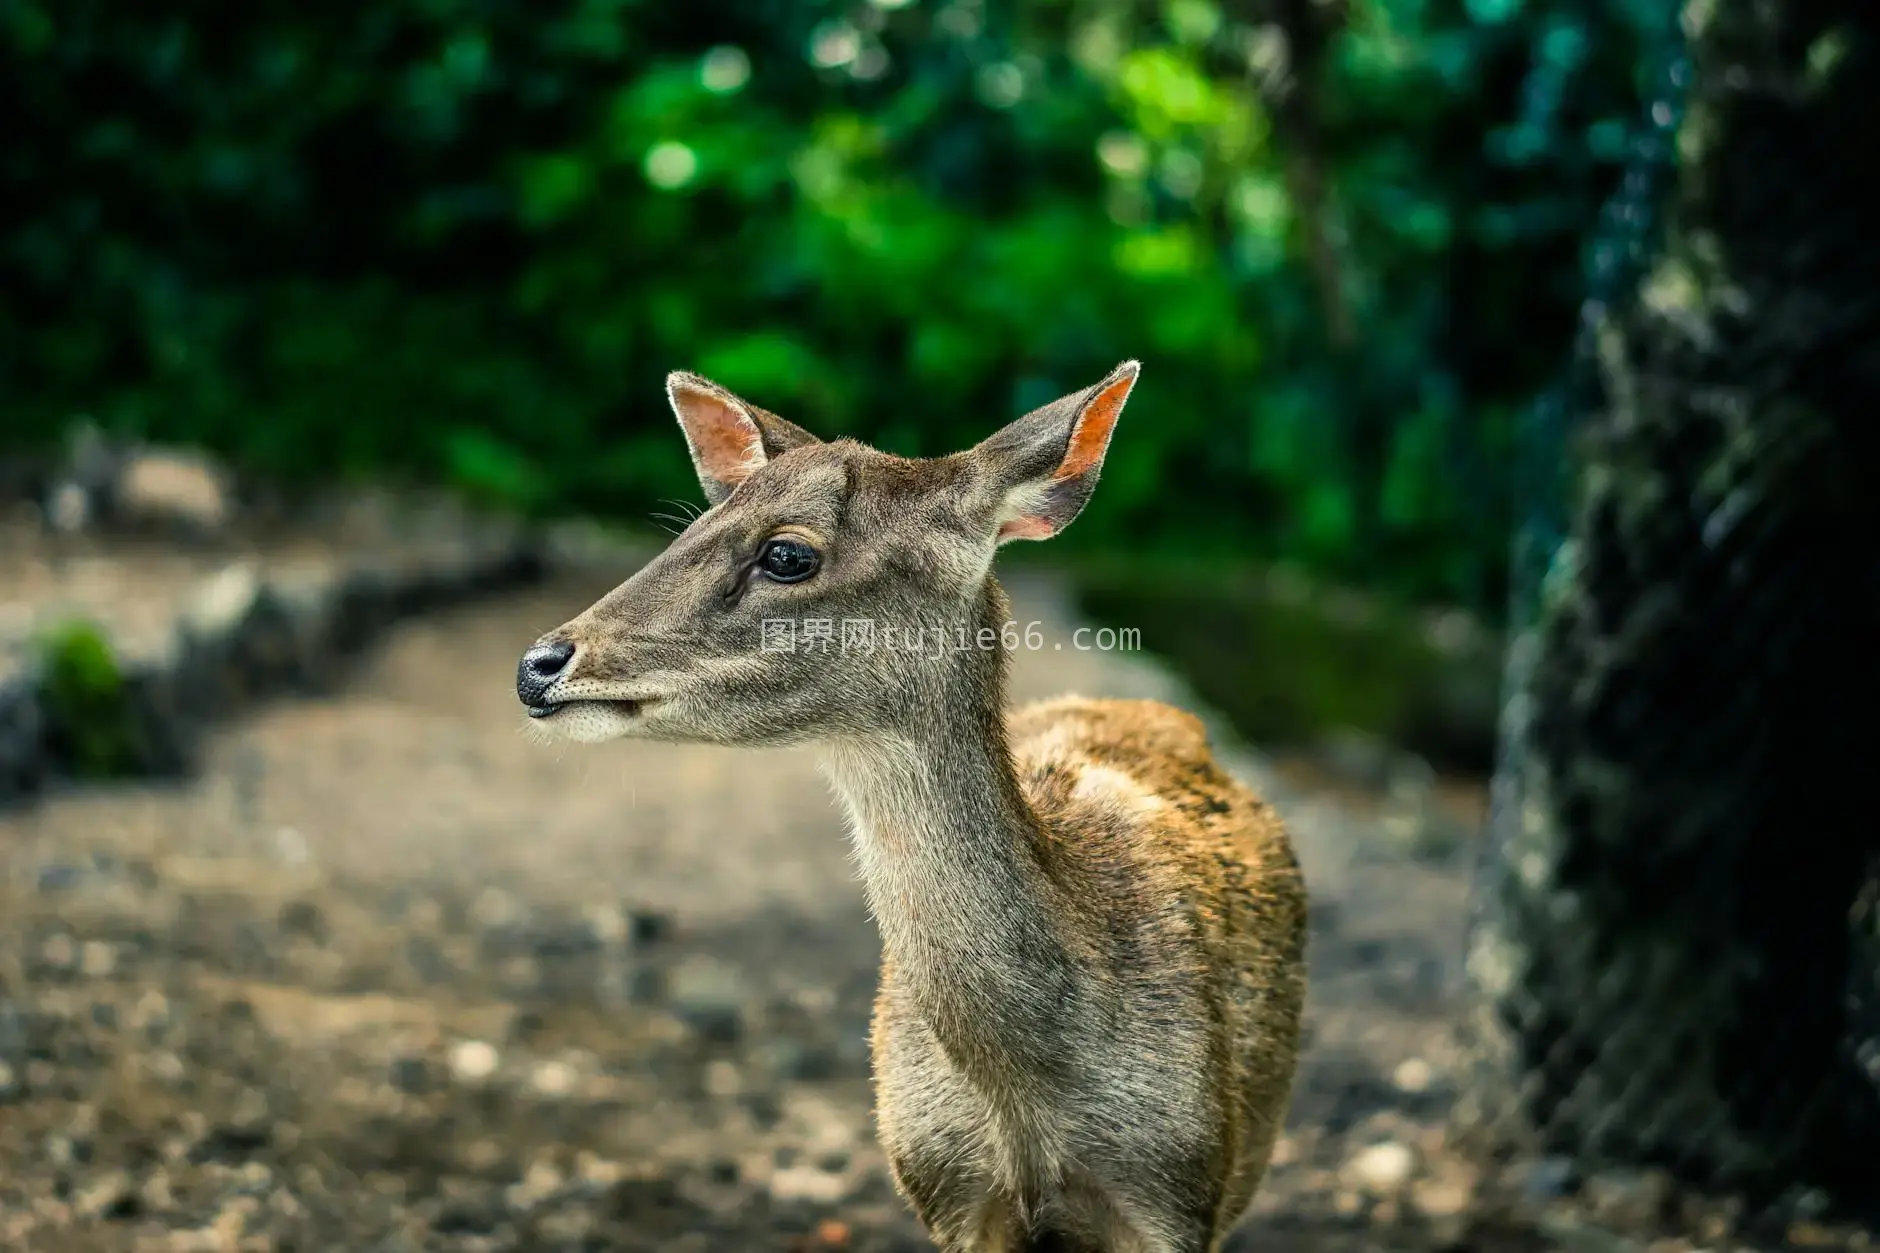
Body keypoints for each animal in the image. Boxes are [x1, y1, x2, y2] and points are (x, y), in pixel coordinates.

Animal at [515, 361, 1308, 1249]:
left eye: (786, 552)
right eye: (690, 525)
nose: (539, 663)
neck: (1028, 1093)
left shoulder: (1177, 1183)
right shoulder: (941, 1182)